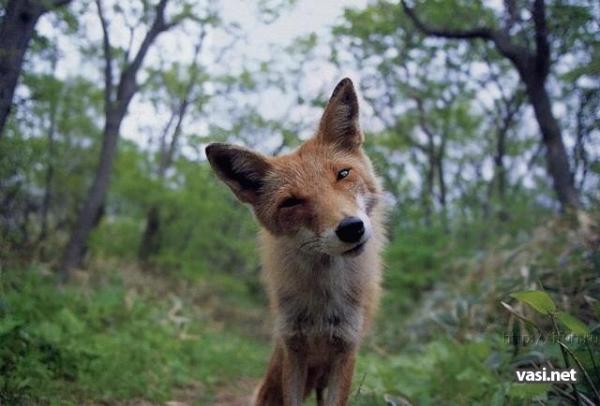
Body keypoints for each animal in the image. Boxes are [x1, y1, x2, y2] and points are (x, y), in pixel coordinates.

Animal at [205, 77, 384, 404]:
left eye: (343, 174)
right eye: (291, 202)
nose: (351, 228)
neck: (323, 305)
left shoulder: (345, 350)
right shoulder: (294, 348)